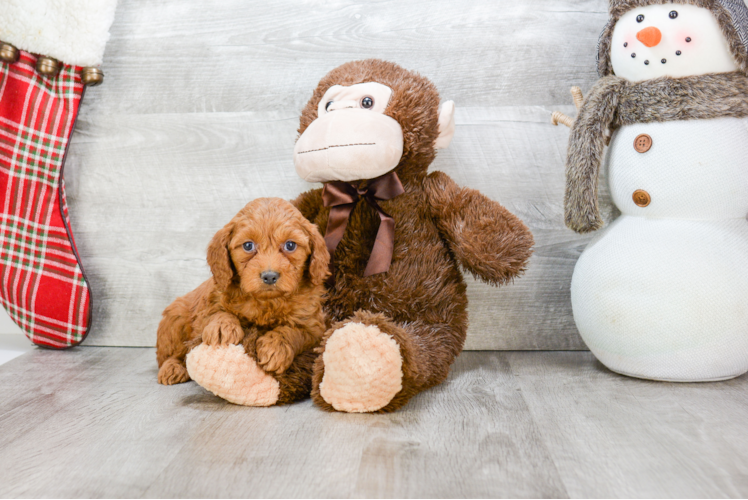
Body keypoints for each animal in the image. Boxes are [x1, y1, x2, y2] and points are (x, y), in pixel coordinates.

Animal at [156, 197, 328, 400]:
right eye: (248, 246)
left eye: (290, 245)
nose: (269, 276)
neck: (266, 301)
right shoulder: (208, 304)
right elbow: (216, 313)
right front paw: (222, 327)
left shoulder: (313, 326)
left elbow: (293, 331)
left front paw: (275, 348)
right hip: (175, 319)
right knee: (167, 355)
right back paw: (172, 368)